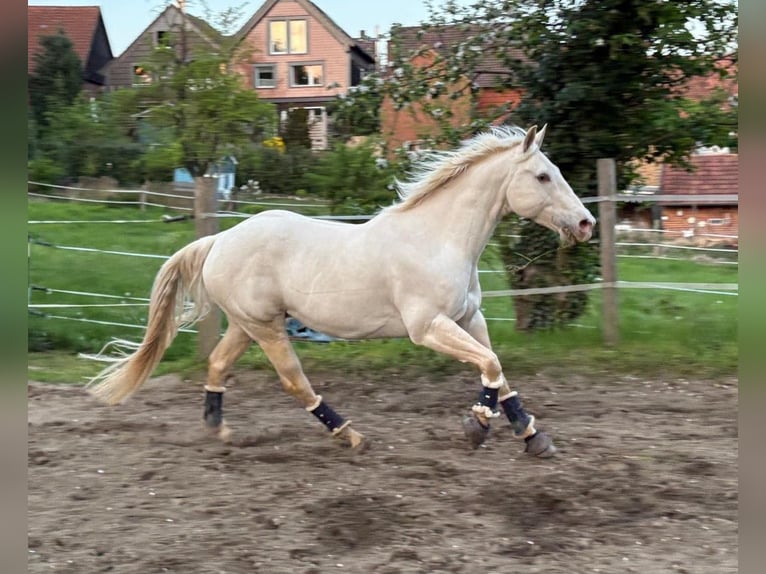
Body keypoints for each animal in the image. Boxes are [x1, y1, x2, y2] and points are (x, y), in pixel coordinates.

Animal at [87, 125, 595, 457]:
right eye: (543, 176)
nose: (586, 223)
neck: (438, 239)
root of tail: (219, 241)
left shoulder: (470, 318)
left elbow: (499, 371)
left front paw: (533, 437)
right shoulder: (428, 327)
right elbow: (490, 367)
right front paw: (476, 427)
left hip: (247, 325)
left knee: (216, 364)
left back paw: (220, 429)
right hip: (266, 327)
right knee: (294, 381)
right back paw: (348, 434)